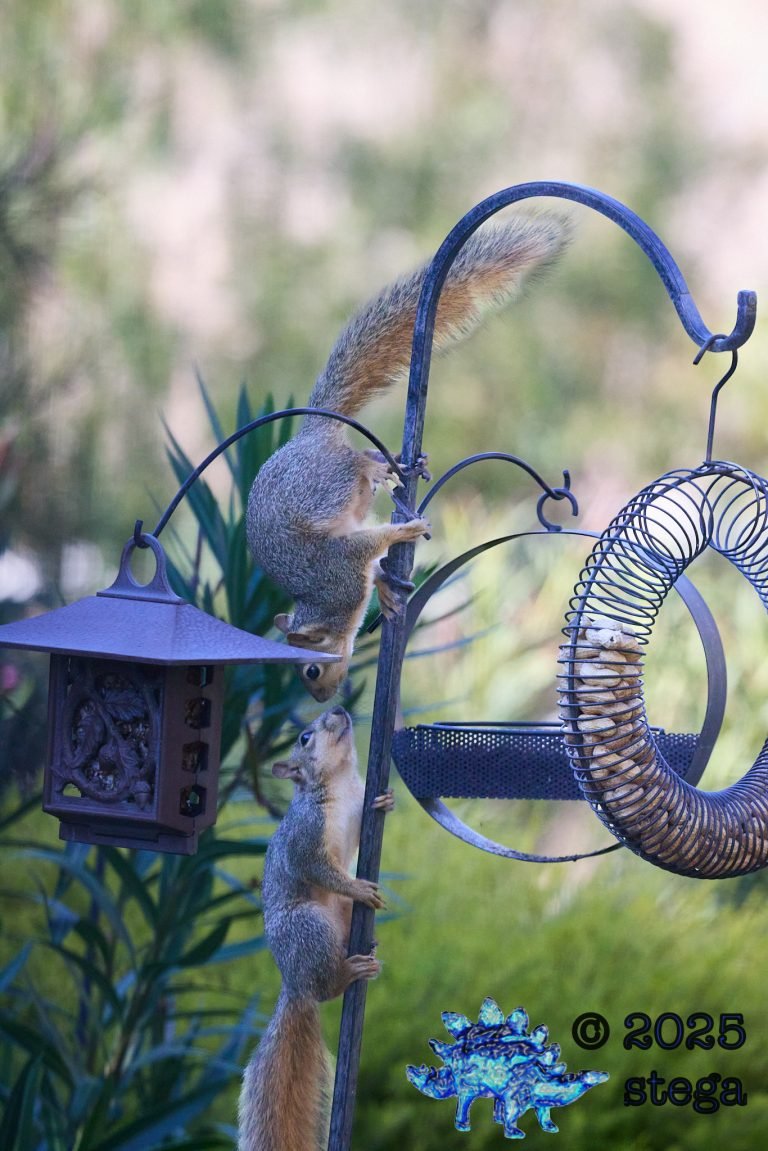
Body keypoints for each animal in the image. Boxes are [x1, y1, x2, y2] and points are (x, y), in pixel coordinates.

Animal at [238, 705, 394, 1151]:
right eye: (305, 738)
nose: (339, 709)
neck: (339, 783)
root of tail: (295, 982)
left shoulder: (355, 814)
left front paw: (387, 799)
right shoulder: (305, 838)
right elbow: (319, 868)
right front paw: (357, 885)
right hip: (307, 926)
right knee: (328, 989)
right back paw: (347, 972)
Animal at [246, 214, 570, 701]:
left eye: (311, 671)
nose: (323, 699)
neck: (327, 603)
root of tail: (308, 437)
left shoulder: (341, 564)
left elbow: (373, 544)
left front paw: (406, 533)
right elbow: (375, 562)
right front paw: (385, 591)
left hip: (329, 482)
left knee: (356, 461)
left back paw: (382, 466)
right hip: (348, 498)